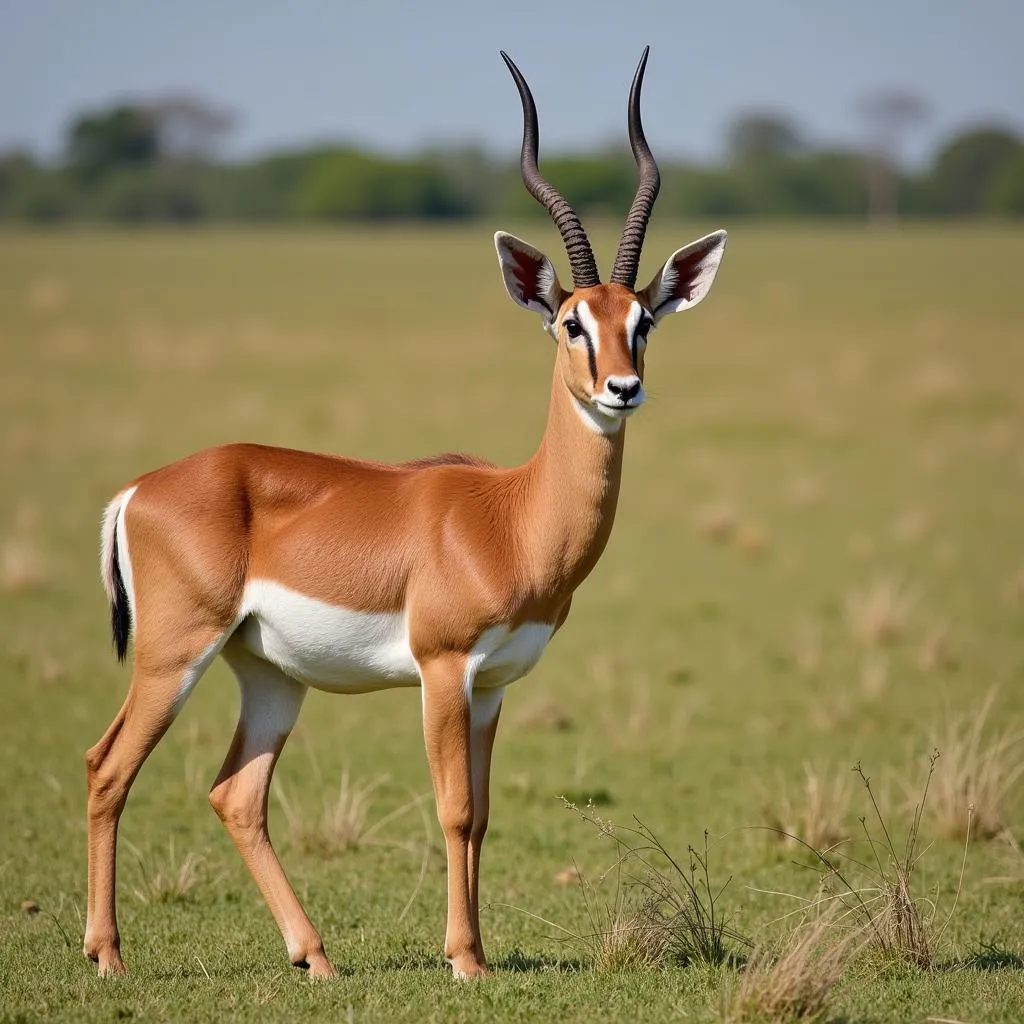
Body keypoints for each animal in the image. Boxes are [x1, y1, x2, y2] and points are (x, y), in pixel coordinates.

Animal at [86, 46, 729, 974]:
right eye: (570, 322)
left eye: (644, 320)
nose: (622, 387)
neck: (512, 517)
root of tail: (140, 490)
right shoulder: (442, 668)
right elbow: (454, 809)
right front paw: (463, 959)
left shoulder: (492, 687)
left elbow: (485, 816)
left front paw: (481, 952)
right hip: (175, 654)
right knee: (108, 768)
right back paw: (108, 955)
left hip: (270, 675)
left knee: (235, 794)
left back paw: (315, 957)